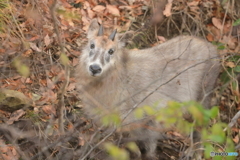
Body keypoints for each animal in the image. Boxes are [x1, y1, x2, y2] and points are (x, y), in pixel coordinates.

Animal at [75, 19, 221, 160]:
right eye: (92, 45)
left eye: (111, 51)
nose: (95, 68)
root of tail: (213, 49)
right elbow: (133, 146)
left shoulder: (150, 118)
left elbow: (148, 149)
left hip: (202, 99)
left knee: (202, 126)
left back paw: (194, 153)